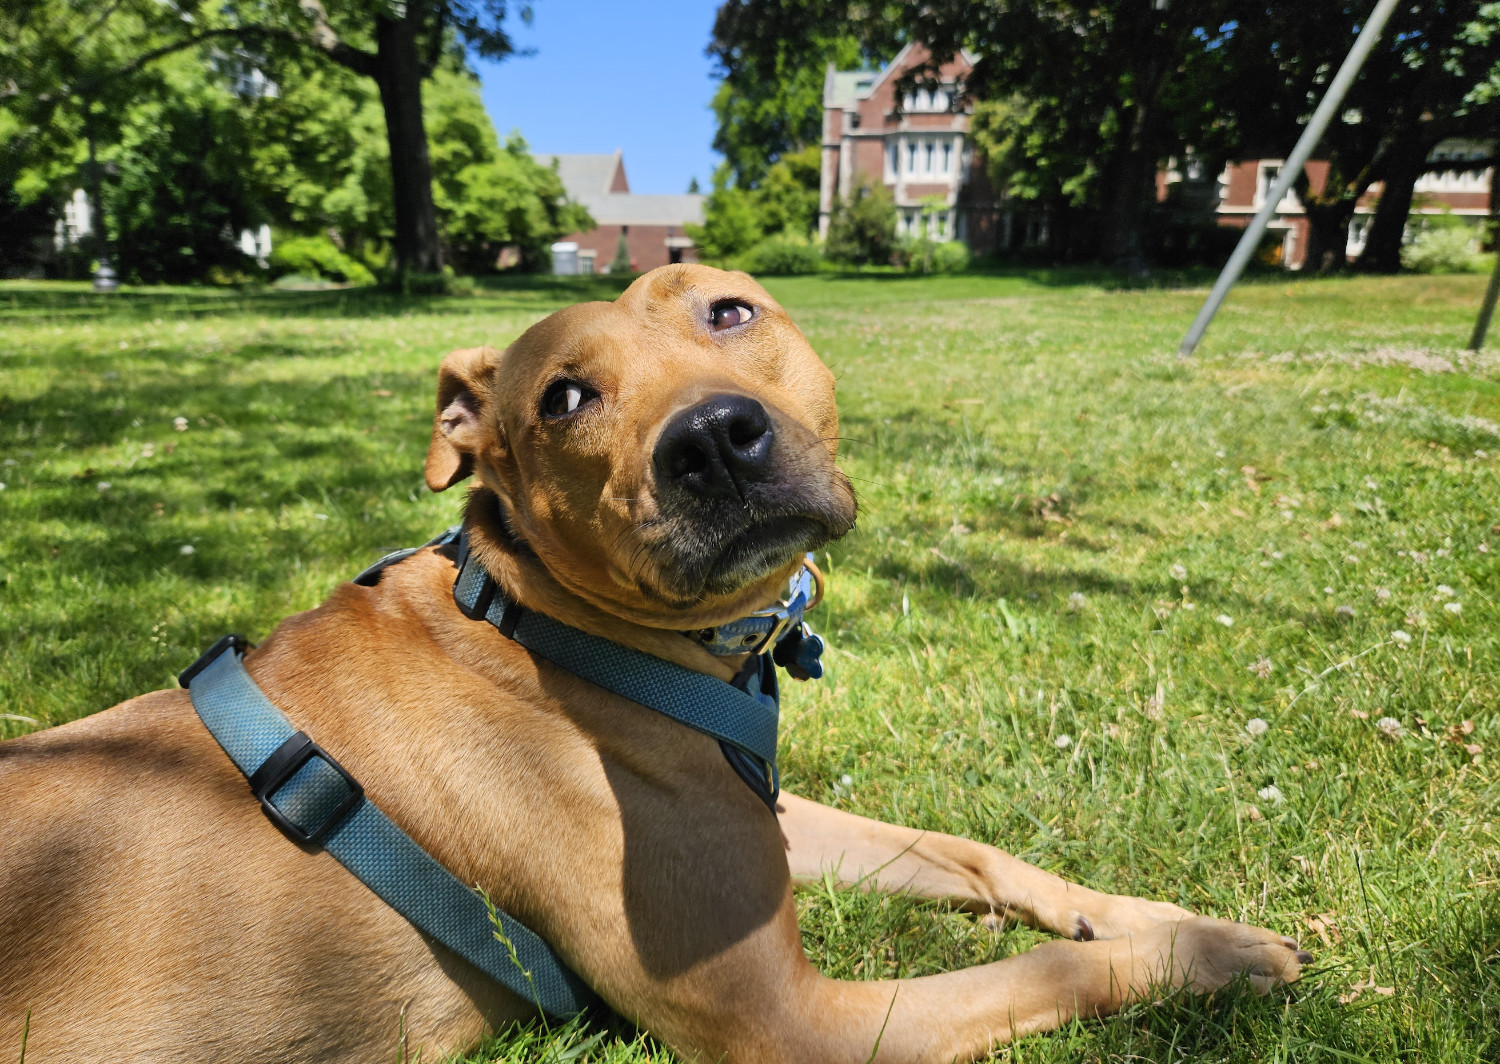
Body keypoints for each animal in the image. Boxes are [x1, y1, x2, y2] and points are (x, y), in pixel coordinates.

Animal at [2, 261, 1302, 1056]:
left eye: (729, 312)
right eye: (563, 398)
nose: (714, 440)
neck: (541, 619)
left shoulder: (759, 825)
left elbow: (973, 851)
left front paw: (1142, 911)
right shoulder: (792, 1020)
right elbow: (1045, 977)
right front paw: (1206, 952)